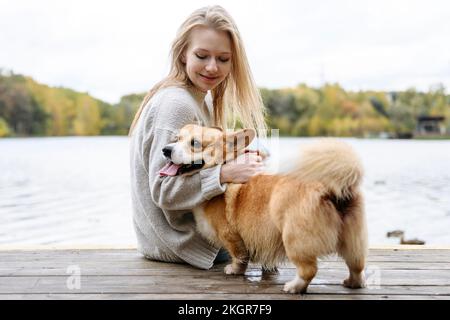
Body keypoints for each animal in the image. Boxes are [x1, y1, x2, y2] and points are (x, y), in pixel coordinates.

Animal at [160, 124, 368, 294]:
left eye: (194, 143)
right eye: (177, 139)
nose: (165, 150)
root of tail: (331, 189)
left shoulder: (231, 235)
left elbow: (239, 257)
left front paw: (234, 270)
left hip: (294, 239)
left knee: (309, 270)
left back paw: (293, 287)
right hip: (353, 242)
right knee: (357, 266)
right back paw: (352, 282)